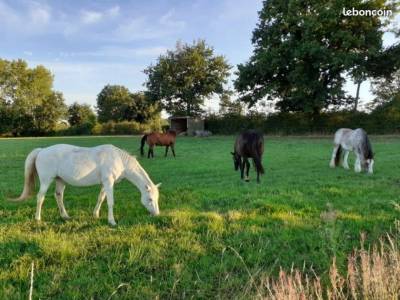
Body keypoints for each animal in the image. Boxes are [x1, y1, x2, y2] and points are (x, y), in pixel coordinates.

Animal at [14, 145, 161, 225]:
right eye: (150, 199)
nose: (157, 214)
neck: (119, 159)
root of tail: (42, 150)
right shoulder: (109, 182)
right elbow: (110, 202)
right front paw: (112, 221)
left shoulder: (105, 184)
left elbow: (101, 198)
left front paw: (95, 214)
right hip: (46, 180)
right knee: (40, 197)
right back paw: (38, 218)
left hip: (60, 180)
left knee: (58, 196)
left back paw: (65, 216)